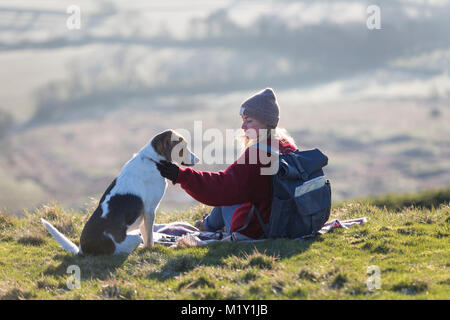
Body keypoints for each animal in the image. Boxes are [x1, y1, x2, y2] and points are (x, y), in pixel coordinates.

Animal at [41, 129, 197, 256]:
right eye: (183, 148)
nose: (197, 159)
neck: (153, 160)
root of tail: (83, 250)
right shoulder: (149, 210)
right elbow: (149, 238)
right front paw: (150, 248)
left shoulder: (146, 214)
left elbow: (147, 234)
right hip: (134, 237)